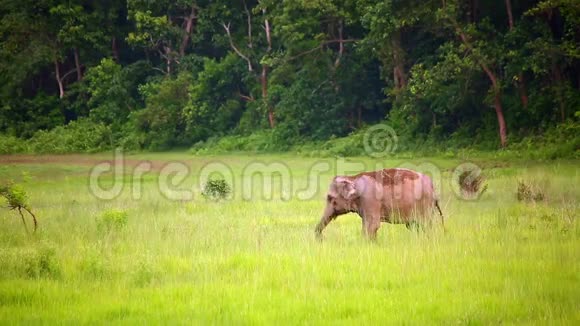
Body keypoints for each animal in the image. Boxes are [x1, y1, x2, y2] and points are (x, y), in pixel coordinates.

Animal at [314, 168, 442, 239]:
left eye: (330, 198)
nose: (321, 238)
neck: (353, 178)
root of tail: (433, 187)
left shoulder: (370, 200)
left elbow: (372, 225)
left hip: (425, 205)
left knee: (425, 226)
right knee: (415, 226)